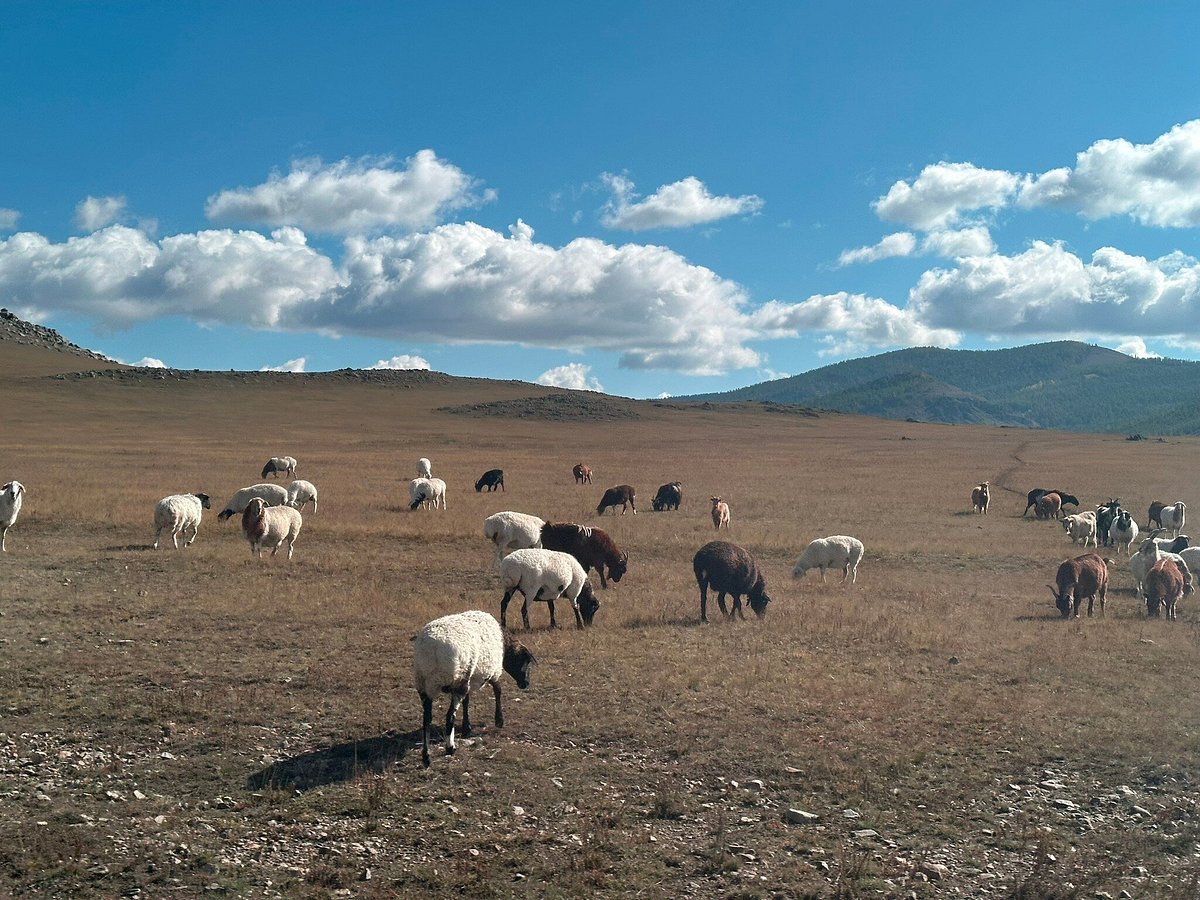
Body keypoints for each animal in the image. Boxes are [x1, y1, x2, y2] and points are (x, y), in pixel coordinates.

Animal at [412, 607, 535, 768]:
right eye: (524, 661)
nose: (525, 684)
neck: (503, 643)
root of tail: (431, 650)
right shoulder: (492, 672)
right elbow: (498, 690)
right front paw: (499, 720)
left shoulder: (470, 679)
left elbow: (467, 701)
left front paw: (467, 727)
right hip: (458, 680)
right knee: (449, 716)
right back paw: (450, 747)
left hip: (424, 684)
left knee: (427, 719)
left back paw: (426, 757)